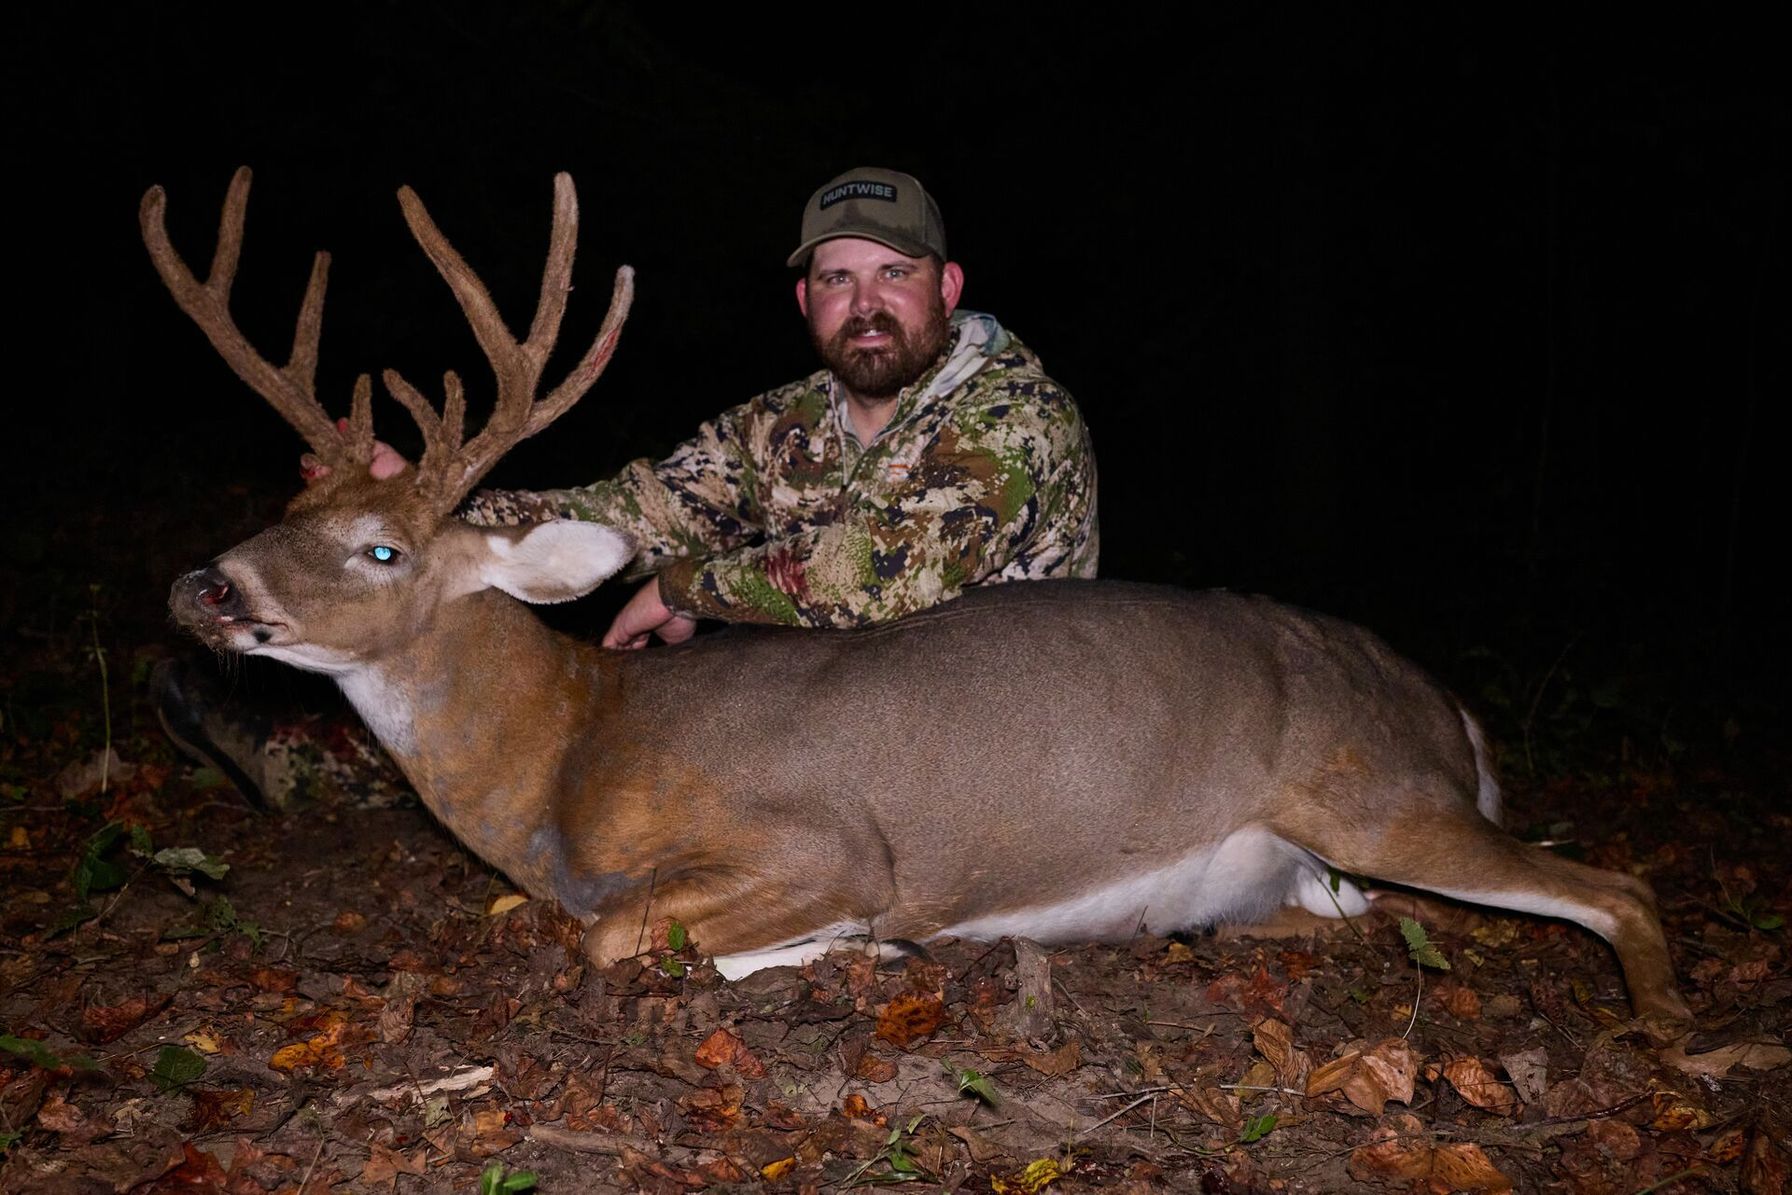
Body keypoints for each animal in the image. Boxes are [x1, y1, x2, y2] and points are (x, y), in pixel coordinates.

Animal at [148, 168, 1693, 1039]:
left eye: (380, 551)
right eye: (282, 512)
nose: (201, 585)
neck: (564, 762)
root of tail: (1447, 708)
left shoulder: (821, 840)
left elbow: (620, 934)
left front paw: (852, 946)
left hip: (1379, 788)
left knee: (1615, 884)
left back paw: (1664, 1032)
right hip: (1324, 855)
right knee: (1346, 911)